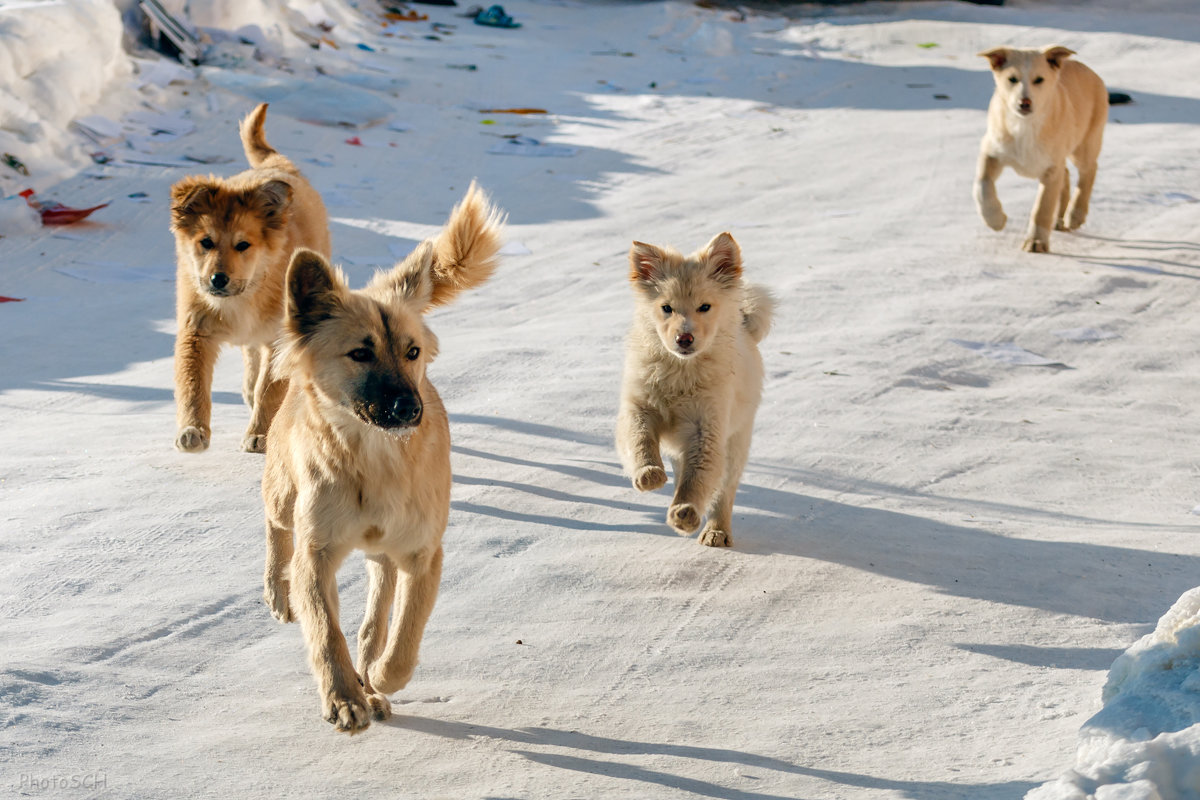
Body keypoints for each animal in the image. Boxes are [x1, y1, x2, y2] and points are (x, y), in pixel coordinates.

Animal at [169, 104, 328, 455]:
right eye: (206, 242)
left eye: (243, 245)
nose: (218, 279)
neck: (242, 297)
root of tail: (276, 165)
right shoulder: (196, 331)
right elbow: (192, 385)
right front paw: (192, 430)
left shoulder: (279, 336)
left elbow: (269, 389)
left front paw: (259, 434)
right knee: (250, 356)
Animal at [260, 184, 504, 734]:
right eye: (361, 353)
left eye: (412, 352)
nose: (409, 410)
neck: (373, 460)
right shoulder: (317, 554)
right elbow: (326, 631)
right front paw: (344, 697)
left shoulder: (422, 553)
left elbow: (403, 639)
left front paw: (375, 680)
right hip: (283, 493)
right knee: (276, 529)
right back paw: (278, 591)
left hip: (384, 550)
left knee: (379, 603)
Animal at [614, 227, 772, 546]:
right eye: (666, 308)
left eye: (705, 307)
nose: (684, 338)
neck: (680, 373)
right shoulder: (639, 406)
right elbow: (639, 439)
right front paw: (649, 474)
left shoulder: (707, 428)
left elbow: (697, 478)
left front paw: (685, 513)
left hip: (736, 442)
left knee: (723, 490)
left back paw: (716, 532)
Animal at [974, 45, 1104, 251]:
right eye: (1012, 79)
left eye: (1039, 80)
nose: (1024, 103)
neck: (1025, 126)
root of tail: (1090, 71)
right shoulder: (991, 152)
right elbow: (982, 185)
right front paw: (995, 219)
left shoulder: (1050, 170)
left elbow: (1042, 207)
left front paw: (1036, 242)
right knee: (1067, 174)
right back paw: (1060, 219)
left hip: (1084, 145)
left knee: (1089, 170)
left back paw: (1075, 214)